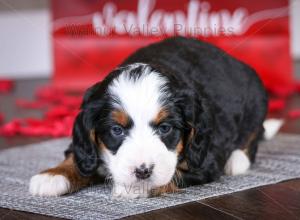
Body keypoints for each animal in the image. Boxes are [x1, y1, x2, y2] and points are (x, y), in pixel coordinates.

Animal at [30, 37, 270, 199]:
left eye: (165, 128)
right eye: (117, 130)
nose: (143, 171)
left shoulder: (205, 160)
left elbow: (172, 174)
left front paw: (133, 188)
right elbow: (78, 155)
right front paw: (53, 175)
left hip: (257, 97)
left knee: (253, 135)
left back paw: (237, 160)